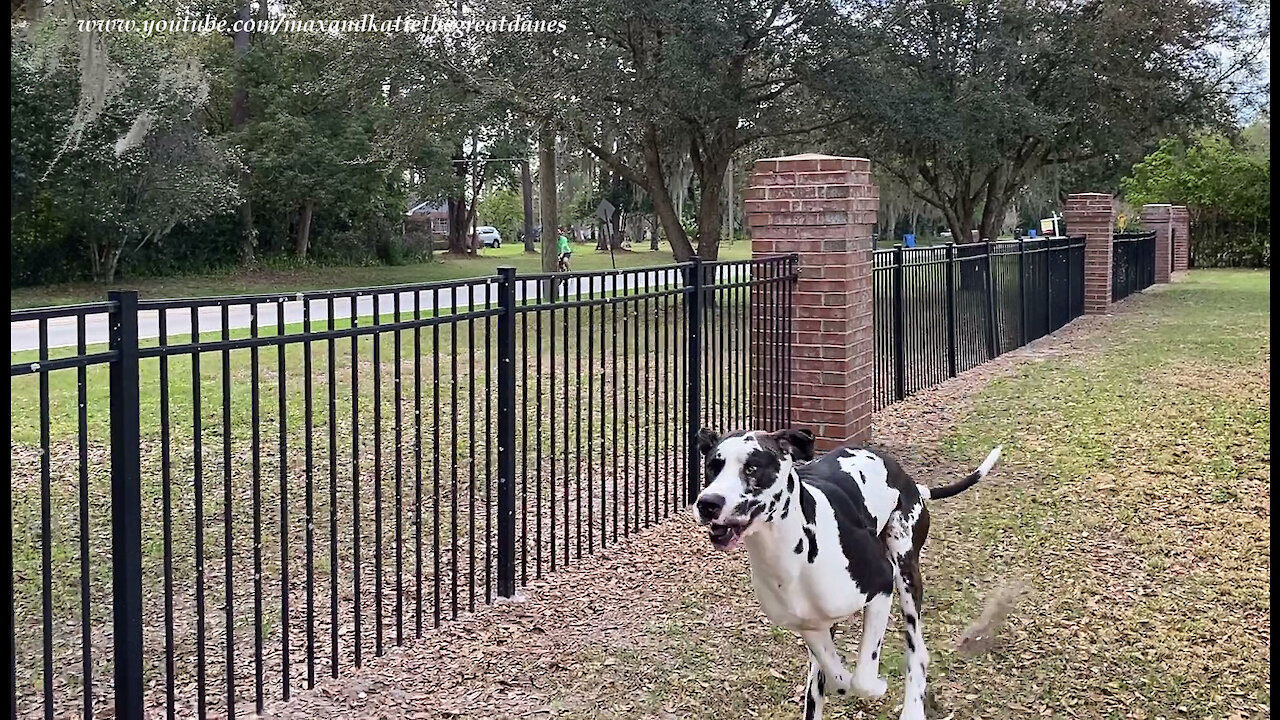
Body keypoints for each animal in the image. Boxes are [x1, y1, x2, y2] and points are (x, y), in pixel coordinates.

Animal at [691, 425, 998, 717]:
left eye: (752, 468)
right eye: (712, 466)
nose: (708, 503)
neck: (789, 553)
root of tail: (910, 482)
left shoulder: (882, 585)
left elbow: (862, 679)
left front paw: (876, 687)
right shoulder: (810, 625)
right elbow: (836, 677)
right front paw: (839, 680)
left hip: (905, 571)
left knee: (917, 651)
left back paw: (913, 709)